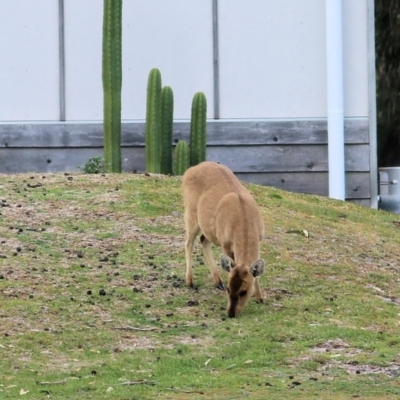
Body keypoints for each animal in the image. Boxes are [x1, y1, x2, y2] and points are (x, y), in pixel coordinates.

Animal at [182, 161, 266, 318]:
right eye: (229, 289)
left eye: (244, 291)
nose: (231, 313)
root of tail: (188, 171)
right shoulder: (225, 242)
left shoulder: (260, 238)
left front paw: (260, 298)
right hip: (191, 212)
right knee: (188, 242)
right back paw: (190, 282)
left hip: (209, 228)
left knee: (203, 239)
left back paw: (217, 281)